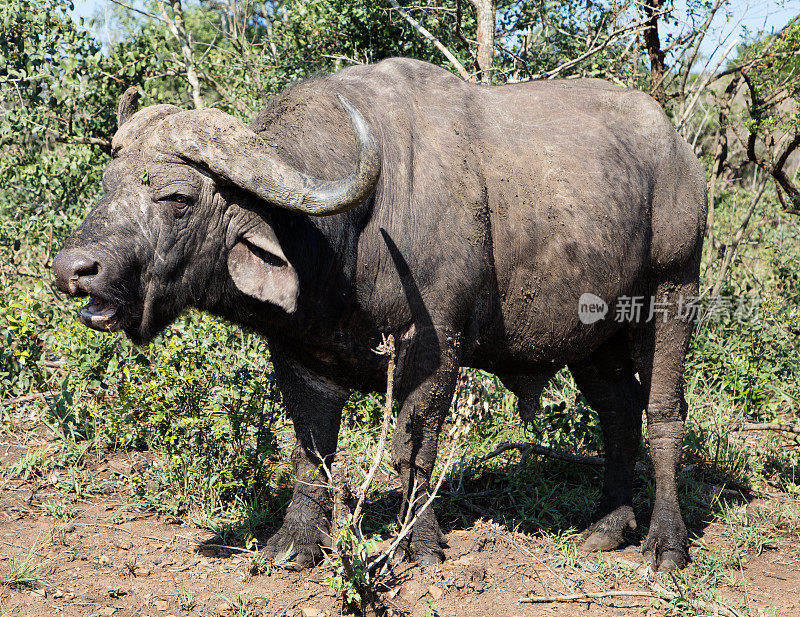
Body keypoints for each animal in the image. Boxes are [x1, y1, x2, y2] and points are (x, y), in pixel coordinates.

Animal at [53, 59, 708, 572]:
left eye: (177, 198)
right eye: (108, 182)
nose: (72, 268)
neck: (353, 237)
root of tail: (677, 150)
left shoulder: (435, 344)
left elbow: (412, 448)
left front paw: (419, 543)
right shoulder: (298, 352)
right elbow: (312, 447)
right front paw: (295, 542)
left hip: (673, 291)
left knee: (663, 415)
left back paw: (665, 543)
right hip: (594, 337)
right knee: (618, 411)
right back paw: (607, 525)